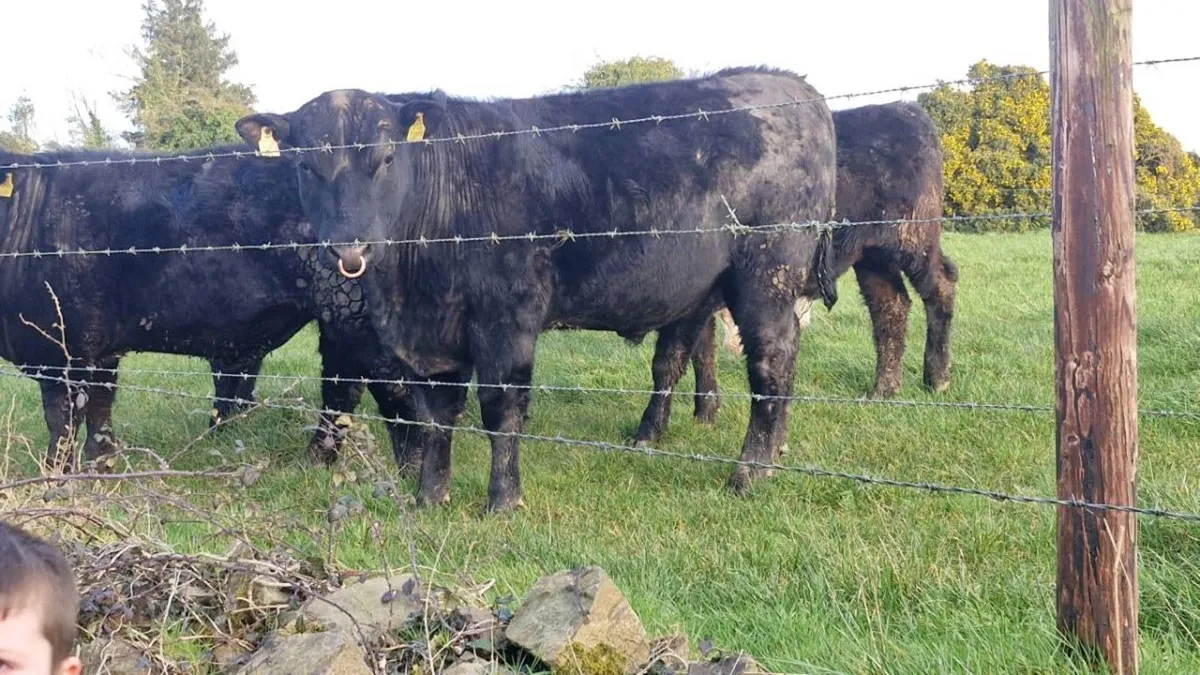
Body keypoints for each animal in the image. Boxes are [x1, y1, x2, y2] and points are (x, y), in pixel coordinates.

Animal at [0, 146, 412, 471]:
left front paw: (56, 474)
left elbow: (61, 420)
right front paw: (101, 465)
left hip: (351, 314)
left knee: (354, 386)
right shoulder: (98, 351)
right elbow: (99, 410)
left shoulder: (58, 351)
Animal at [235, 66, 839, 512]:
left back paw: (750, 472)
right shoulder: (435, 333)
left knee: (772, 363)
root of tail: (792, 86)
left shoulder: (509, 314)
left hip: (766, 274)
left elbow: (501, 408)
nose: (349, 248)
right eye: (304, 166)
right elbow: (436, 414)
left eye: (384, 158)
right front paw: (430, 496)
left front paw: (503, 500)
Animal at [638, 101, 959, 445]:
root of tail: (905, 108)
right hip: (873, 256)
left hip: (913, 236)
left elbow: (669, 359)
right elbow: (701, 351)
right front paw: (705, 413)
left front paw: (650, 431)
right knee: (891, 307)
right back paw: (883, 389)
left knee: (941, 285)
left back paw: (937, 379)